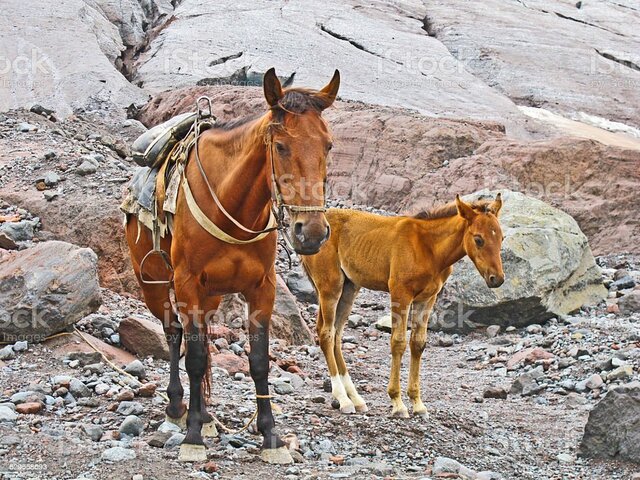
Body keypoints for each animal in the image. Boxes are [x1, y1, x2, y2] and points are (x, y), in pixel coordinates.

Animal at [125, 68, 339, 463]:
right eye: (280, 146)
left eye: (328, 145)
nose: (312, 233)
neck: (233, 206)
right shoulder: (188, 284)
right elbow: (193, 358)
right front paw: (193, 437)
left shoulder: (262, 289)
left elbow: (258, 360)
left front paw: (270, 436)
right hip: (154, 285)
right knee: (175, 335)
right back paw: (178, 409)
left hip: (209, 297)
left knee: (201, 342)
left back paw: (207, 415)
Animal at [301, 194, 504, 418]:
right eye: (478, 239)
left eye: (502, 238)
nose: (497, 279)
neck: (428, 248)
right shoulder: (401, 294)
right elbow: (398, 342)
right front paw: (397, 403)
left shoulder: (427, 298)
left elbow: (418, 343)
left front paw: (417, 403)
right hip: (330, 286)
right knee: (326, 333)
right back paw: (343, 399)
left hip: (349, 288)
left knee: (336, 334)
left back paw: (355, 398)